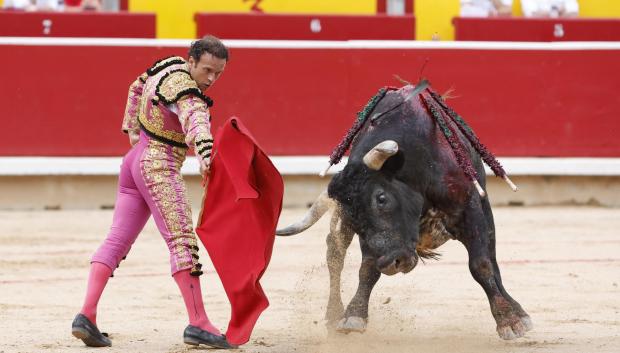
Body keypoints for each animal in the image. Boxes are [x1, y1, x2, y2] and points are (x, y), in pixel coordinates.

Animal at [278, 82, 532, 338]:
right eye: (354, 220)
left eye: (381, 198)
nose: (393, 263)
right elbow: (367, 268)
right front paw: (354, 315)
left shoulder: (470, 209)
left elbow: (482, 263)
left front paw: (510, 320)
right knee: (334, 252)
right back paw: (333, 315)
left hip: (485, 209)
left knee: (491, 255)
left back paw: (517, 311)